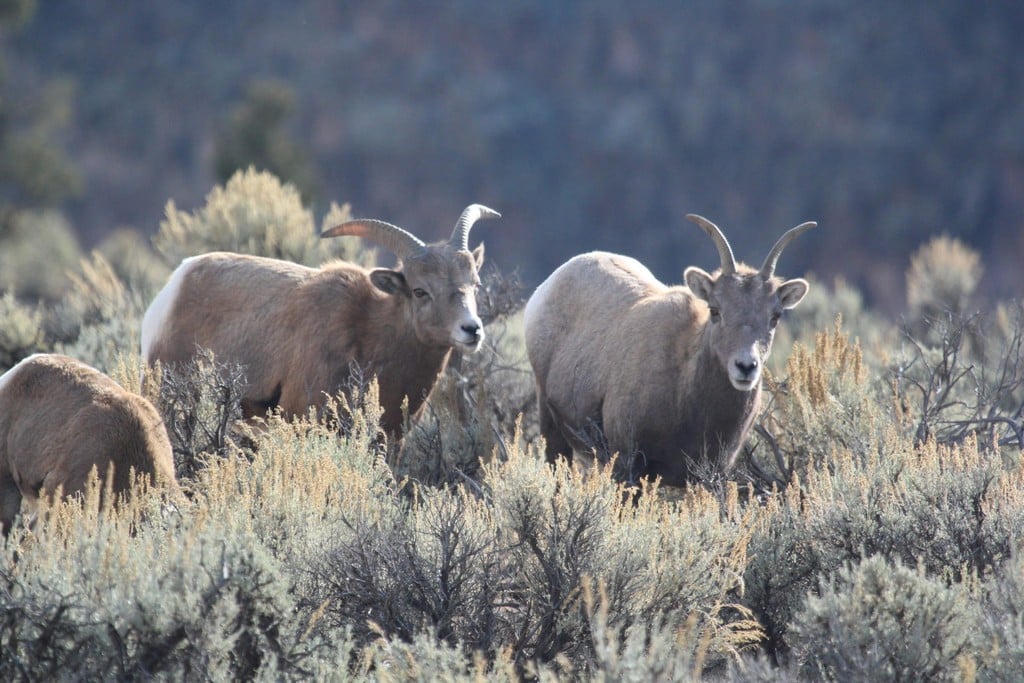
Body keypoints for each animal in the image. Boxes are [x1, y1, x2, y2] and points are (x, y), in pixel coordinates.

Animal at [524, 214, 811, 485]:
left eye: (775, 317)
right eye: (715, 310)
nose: (745, 367)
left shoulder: (708, 477)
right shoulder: (628, 467)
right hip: (552, 430)